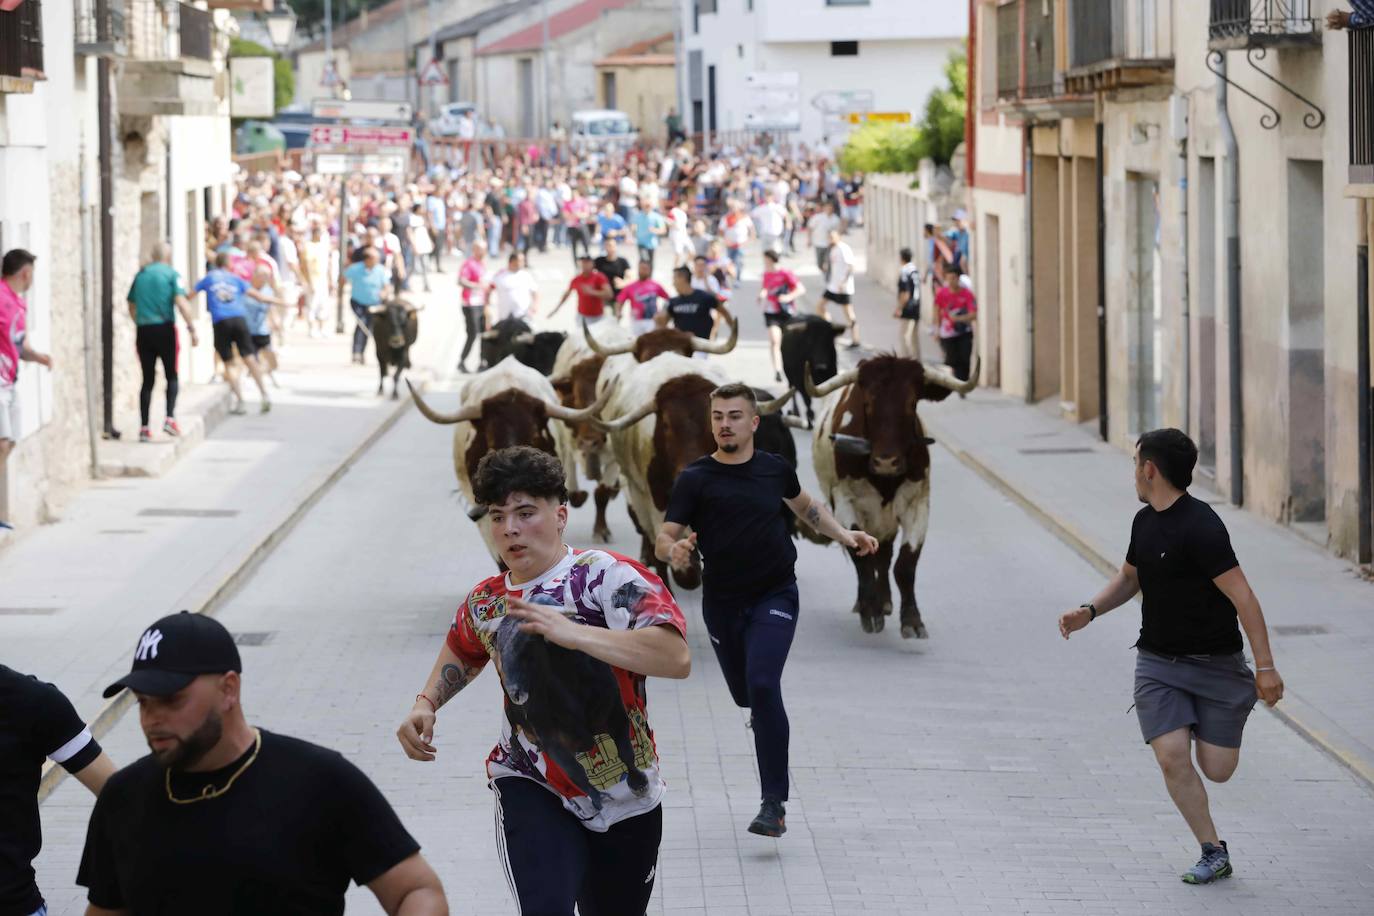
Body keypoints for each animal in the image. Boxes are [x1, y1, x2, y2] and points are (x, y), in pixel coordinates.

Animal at [497, 609, 645, 807]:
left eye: (527, 647)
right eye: (500, 651)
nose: (514, 692)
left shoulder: (616, 712)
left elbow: (626, 751)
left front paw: (639, 782)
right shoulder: (552, 739)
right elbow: (575, 771)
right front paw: (598, 798)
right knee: (514, 737)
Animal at [807, 357, 983, 637]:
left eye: (912, 403)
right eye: (867, 402)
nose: (886, 462)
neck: (885, 481)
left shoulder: (917, 504)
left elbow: (905, 563)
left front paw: (911, 618)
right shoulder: (845, 504)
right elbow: (861, 556)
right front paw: (870, 610)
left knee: (885, 554)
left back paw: (886, 600)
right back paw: (867, 602)